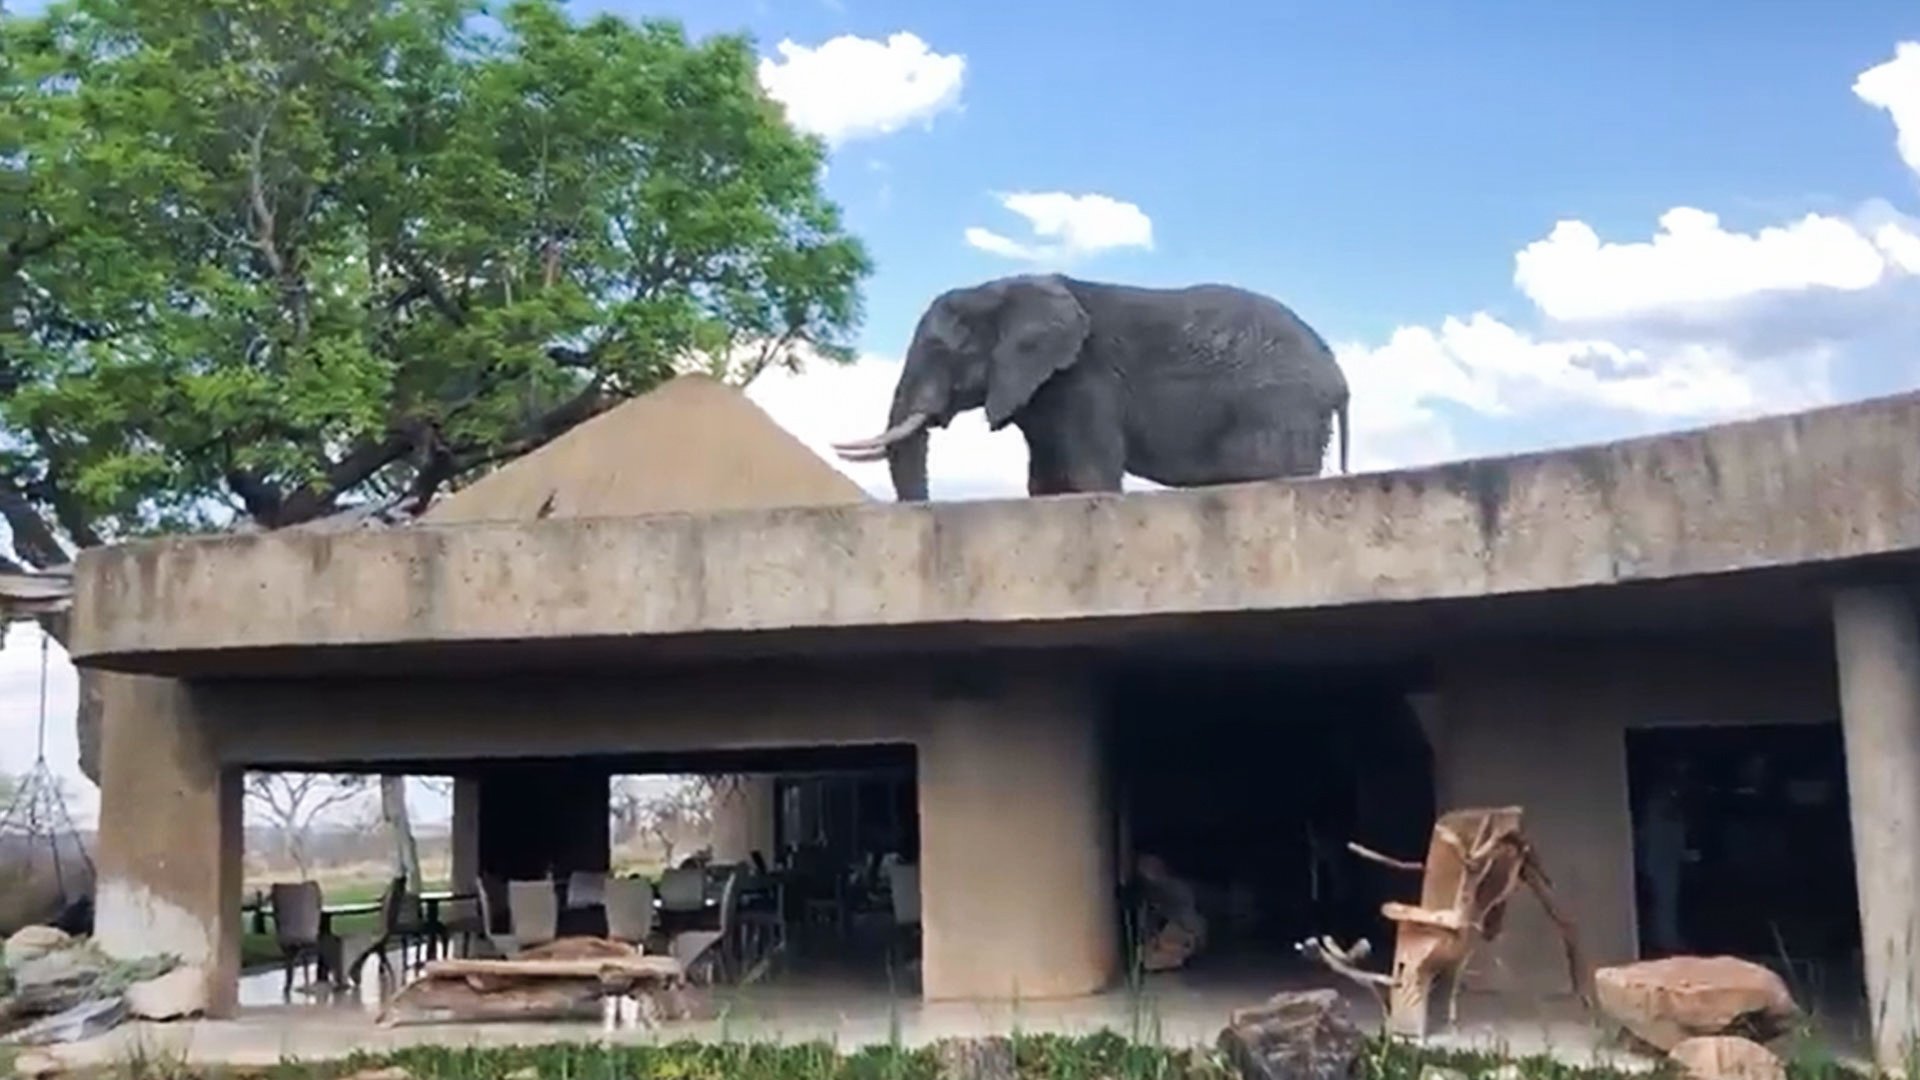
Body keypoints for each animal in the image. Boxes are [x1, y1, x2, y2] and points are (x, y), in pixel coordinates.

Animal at [833, 273, 1350, 500]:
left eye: (941, 351)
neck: (1005, 289)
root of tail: (1338, 377)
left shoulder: (1085, 380)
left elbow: (1089, 477)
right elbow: (1044, 482)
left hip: (1280, 410)